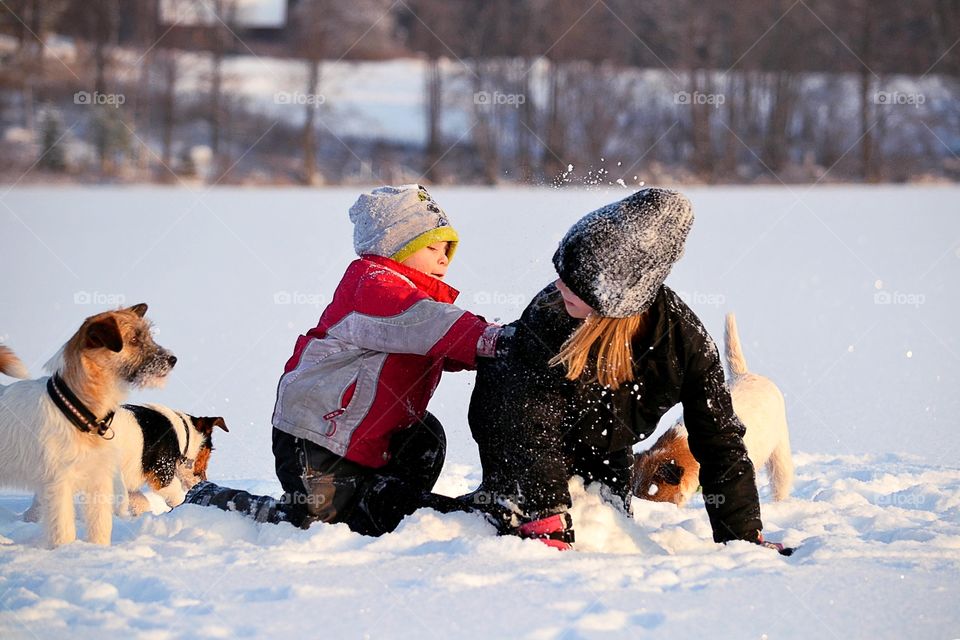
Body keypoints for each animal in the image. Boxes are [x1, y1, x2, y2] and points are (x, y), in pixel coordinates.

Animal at [0, 304, 176, 544]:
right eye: (133, 339)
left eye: (148, 336)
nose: (173, 359)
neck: (77, 410)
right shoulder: (59, 484)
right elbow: (63, 530)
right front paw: (67, 550)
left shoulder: (99, 479)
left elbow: (101, 526)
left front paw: (97, 549)